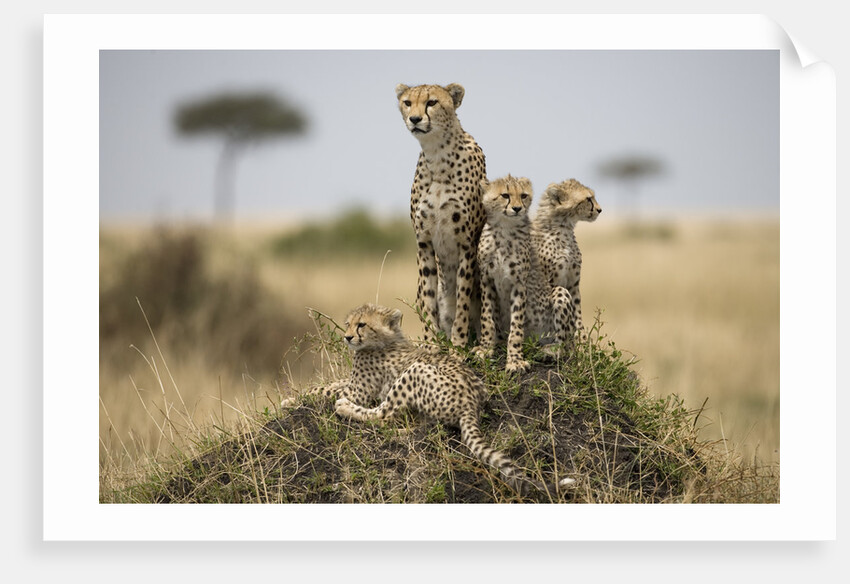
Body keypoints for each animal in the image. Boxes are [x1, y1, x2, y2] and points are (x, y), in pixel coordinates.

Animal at [284, 303, 574, 494]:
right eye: (348, 323)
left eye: (361, 324)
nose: (347, 336)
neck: (385, 340)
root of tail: (472, 403)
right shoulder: (354, 384)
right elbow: (330, 385)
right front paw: (292, 399)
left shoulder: (359, 392)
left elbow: (325, 392)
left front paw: (291, 401)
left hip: (415, 371)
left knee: (385, 415)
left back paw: (345, 409)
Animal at [395, 82, 486, 347]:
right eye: (407, 102)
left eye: (432, 102)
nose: (415, 119)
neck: (437, 153)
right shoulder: (424, 242)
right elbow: (428, 299)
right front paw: (431, 342)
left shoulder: (467, 243)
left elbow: (463, 297)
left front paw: (458, 343)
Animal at [475, 175, 577, 373]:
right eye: (505, 195)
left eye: (523, 195)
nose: (517, 208)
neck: (504, 229)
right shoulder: (486, 280)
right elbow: (486, 318)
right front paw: (485, 348)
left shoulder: (519, 284)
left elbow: (516, 328)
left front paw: (515, 361)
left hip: (559, 294)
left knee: (566, 343)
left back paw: (550, 351)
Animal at [531, 178, 602, 338]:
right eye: (588, 199)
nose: (600, 210)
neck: (565, 227)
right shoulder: (547, 283)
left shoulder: (573, 283)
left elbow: (576, 309)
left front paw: (581, 336)